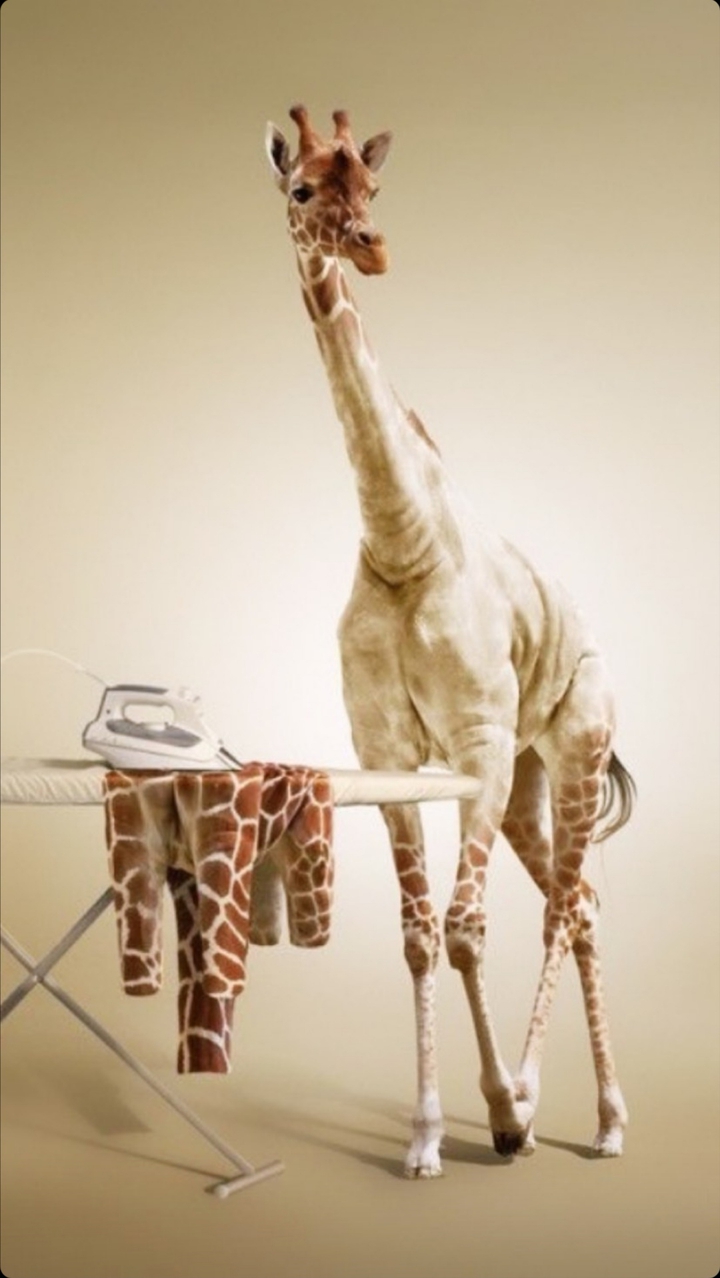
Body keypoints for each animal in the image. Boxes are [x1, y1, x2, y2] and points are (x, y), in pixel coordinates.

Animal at [265, 105, 635, 1177]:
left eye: (375, 187)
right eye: (300, 188)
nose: (370, 247)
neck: (404, 542)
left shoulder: (476, 743)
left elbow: (469, 929)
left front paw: (506, 1109)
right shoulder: (387, 753)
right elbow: (421, 935)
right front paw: (431, 1134)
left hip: (574, 748)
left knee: (565, 905)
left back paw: (576, 1113)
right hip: (529, 779)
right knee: (580, 903)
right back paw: (600, 1117)